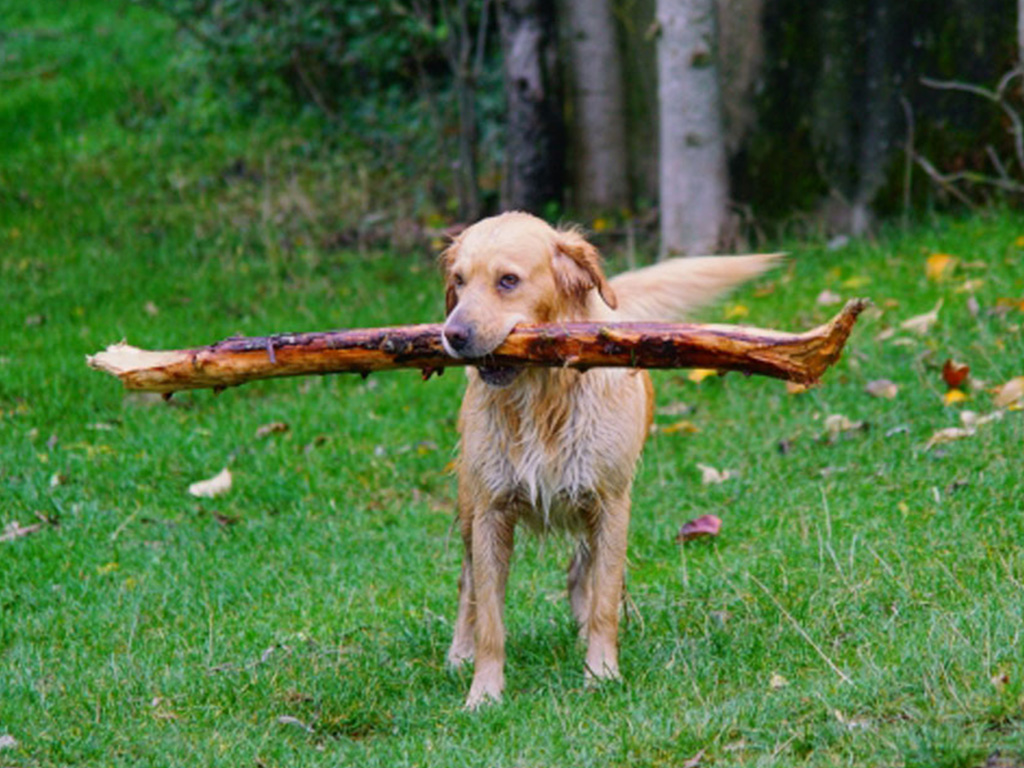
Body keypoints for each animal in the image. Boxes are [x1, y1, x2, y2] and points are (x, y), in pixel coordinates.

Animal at [438, 210, 774, 708]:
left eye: (508, 281)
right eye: (459, 281)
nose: (453, 335)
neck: (543, 396)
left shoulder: (611, 503)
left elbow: (603, 601)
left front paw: (601, 673)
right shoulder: (491, 510)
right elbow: (490, 618)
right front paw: (484, 694)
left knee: (585, 574)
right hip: (467, 505)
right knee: (468, 585)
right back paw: (459, 653)